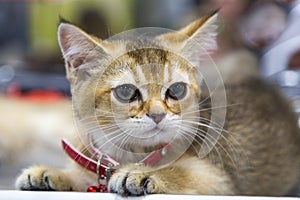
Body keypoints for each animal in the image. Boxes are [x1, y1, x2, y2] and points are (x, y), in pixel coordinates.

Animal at [15, 11, 298, 196]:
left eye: (177, 90)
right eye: (126, 92)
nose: (158, 114)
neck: (131, 153)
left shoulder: (221, 180)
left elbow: (184, 172)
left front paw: (143, 174)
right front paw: (55, 174)